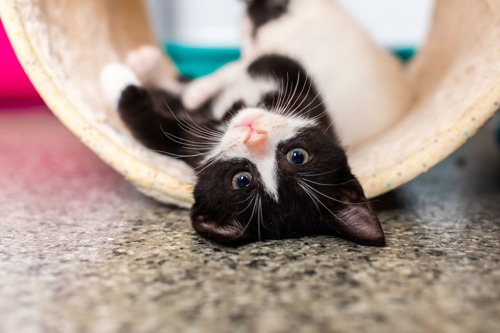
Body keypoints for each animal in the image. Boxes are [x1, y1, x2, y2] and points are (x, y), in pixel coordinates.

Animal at [99, 0, 412, 244]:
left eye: (242, 180)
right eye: (298, 155)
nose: (254, 133)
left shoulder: (186, 146)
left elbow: (148, 124)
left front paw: (114, 74)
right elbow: (275, 62)